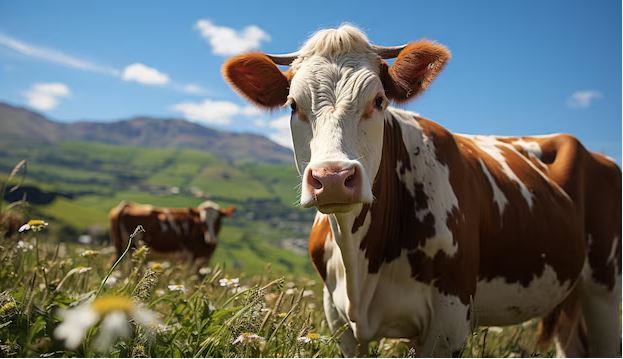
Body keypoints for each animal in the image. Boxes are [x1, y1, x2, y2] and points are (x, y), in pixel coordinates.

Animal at [223, 25, 620, 358]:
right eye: (293, 105)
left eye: (379, 101)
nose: (333, 177)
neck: (361, 268)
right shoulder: (339, 322)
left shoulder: (449, 322)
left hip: (605, 290)